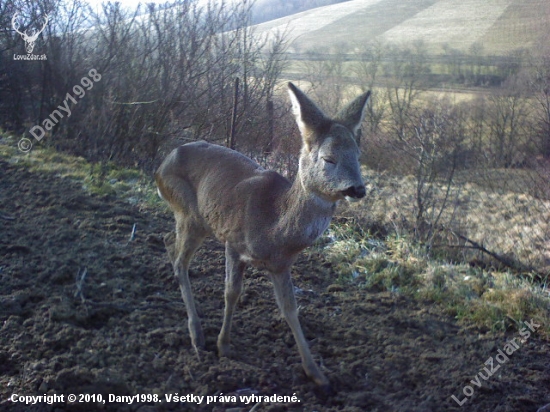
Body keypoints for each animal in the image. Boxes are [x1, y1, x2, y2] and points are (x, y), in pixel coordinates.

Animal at [155, 81, 370, 390]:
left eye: (358, 156)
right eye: (328, 158)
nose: (358, 189)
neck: (273, 227)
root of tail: (161, 165)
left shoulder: (281, 265)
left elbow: (290, 308)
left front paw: (316, 373)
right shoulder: (233, 242)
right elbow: (231, 292)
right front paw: (224, 346)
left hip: (194, 220)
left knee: (169, 243)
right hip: (190, 214)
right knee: (180, 260)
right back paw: (197, 336)